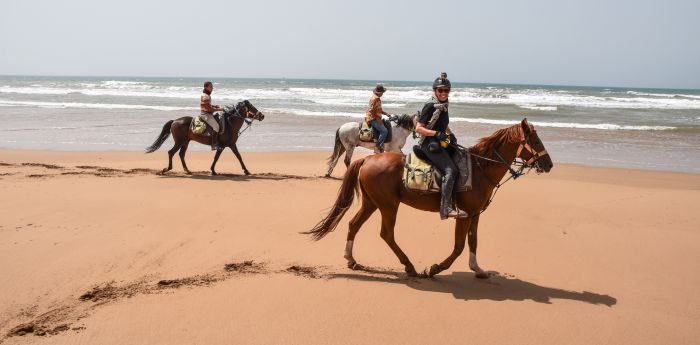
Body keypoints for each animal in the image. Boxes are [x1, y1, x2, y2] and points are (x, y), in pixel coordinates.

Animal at [304, 118, 552, 276]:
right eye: (535, 142)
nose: (549, 164)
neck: (480, 168)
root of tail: (367, 159)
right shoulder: (463, 215)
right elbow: (459, 246)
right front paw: (435, 268)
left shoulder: (475, 214)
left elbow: (473, 241)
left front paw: (477, 269)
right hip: (388, 205)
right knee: (386, 234)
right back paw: (409, 266)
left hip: (371, 202)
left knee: (354, 224)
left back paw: (352, 260)